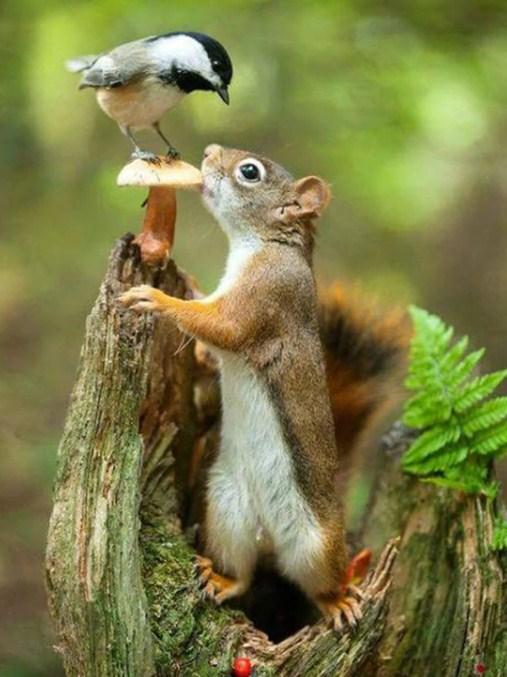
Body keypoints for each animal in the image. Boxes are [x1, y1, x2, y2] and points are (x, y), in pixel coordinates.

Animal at [120, 144, 407, 630]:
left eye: (249, 172)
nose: (208, 152)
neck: (263, 244)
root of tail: (269, 535)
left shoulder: (265, 298)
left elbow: (222, 328)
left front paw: (156, 299)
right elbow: (212, 344)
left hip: (316, 544)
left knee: (319, 582)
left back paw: (339, 600)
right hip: (226, 510)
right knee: (244, 573)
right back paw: (221, 579)